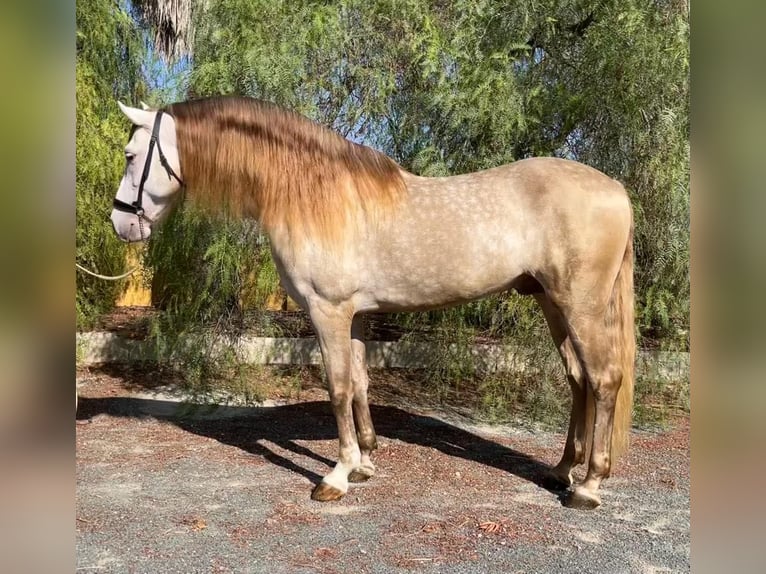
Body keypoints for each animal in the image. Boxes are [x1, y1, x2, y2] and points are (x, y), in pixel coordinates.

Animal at [109, 95, 636, 512]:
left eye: (131, 155)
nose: (121, 224)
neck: (316, 193)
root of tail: (616, 190)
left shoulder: (328, 311)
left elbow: (338, 387)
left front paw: (336, 477)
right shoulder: (357, 316)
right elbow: (361, 382)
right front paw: (363, 462)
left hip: (581, 308)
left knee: (604, 379)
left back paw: (588, 486)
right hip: (553, 305)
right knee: (579, 380)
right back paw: (562, 469)